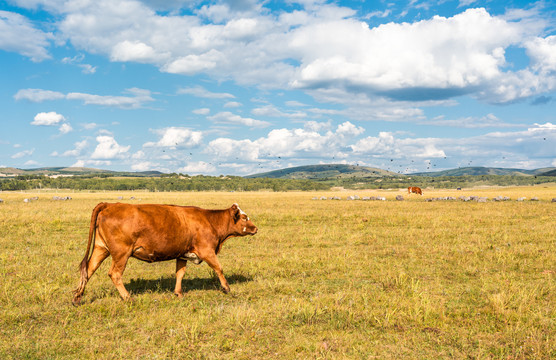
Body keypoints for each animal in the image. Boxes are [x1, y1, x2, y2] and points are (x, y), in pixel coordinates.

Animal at [71, 202, 258, 304]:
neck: (210, 220)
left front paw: (178, 293)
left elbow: (180, 273)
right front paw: (226, 288)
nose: (255, 228)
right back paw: (128, 298)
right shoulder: (207, 251)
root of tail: (110, 204)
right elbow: (219, 268)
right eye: (244, 217)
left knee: (88, 270)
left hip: (101, 248)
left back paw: (77, 298)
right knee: (114, 274)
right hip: (121, 253)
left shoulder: (182, 254)